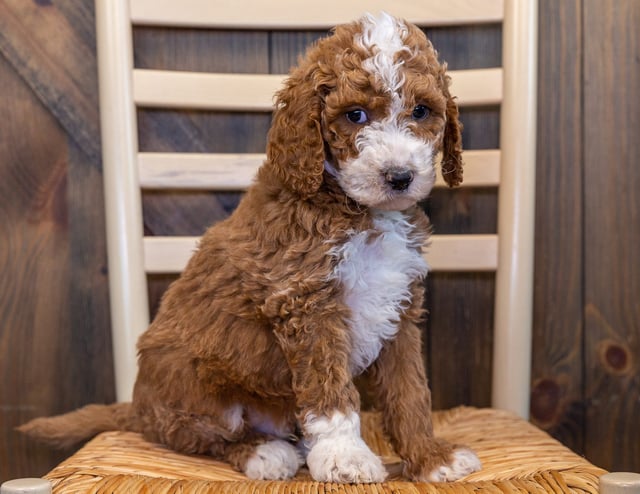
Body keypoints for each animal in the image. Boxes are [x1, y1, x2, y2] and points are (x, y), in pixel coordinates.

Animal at [21, 13, 480, 484]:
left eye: (421, 111)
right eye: (355, 115)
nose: (400, 176)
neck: (358, 210)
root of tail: (137, 410)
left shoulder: (399, 310)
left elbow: (410, 392)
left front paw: (430, 457)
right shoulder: (307, 305)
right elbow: (330, 394)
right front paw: (345, 457)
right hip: (197, 392)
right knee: (194, 435)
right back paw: (264, 452)